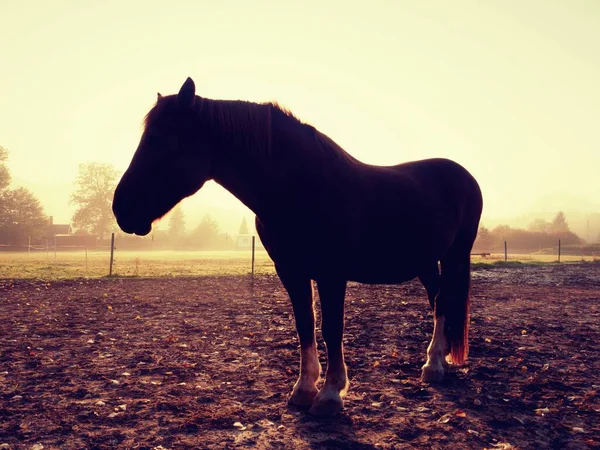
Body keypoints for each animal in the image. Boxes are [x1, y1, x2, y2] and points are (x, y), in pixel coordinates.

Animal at [112, 76, 482, 414]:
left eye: (159, 140)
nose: (121, 208)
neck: (299, 186)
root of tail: (463, 176)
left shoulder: (332, 273)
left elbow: (332, 328)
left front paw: (331, 394)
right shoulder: (290, 270)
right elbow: (305, 324)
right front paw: (304, 389)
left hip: (454, 256)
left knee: (444, 301)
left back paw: (434, 366)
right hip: (426, 261)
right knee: (438, 301)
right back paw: (436, 363)